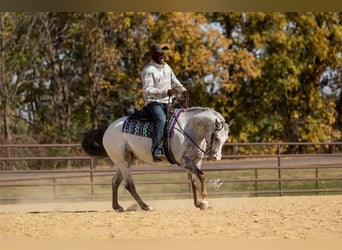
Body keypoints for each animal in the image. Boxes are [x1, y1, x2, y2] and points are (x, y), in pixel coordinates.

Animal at [82, 106, 232, 212]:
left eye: (226, 138)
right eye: (216, 137)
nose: (216, 157)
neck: (188, 129)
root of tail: (108, 129)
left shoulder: (195, 161)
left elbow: (194, 180)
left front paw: (197, 203)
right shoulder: (184, 161)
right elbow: (202, 176)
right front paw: (204, 202)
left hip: (125, 161)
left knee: (115, 181)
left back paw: (118, 207)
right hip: (123, 161)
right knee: (129, 184)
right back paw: (145, 206)